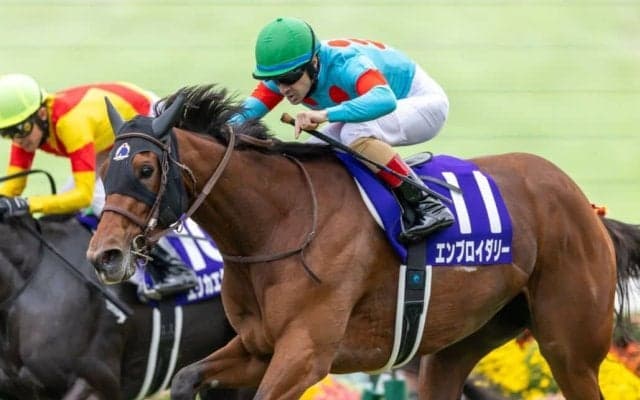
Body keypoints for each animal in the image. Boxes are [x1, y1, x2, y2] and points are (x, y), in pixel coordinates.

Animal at [86, 84, 640, 400]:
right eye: (103, 166)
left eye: (144, 168)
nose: (104, 256)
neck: (279, 222)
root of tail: (587, 207)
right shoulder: (259, 346)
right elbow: (185, 378)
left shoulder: (306, 354)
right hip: (463, 341)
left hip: (569, 348)